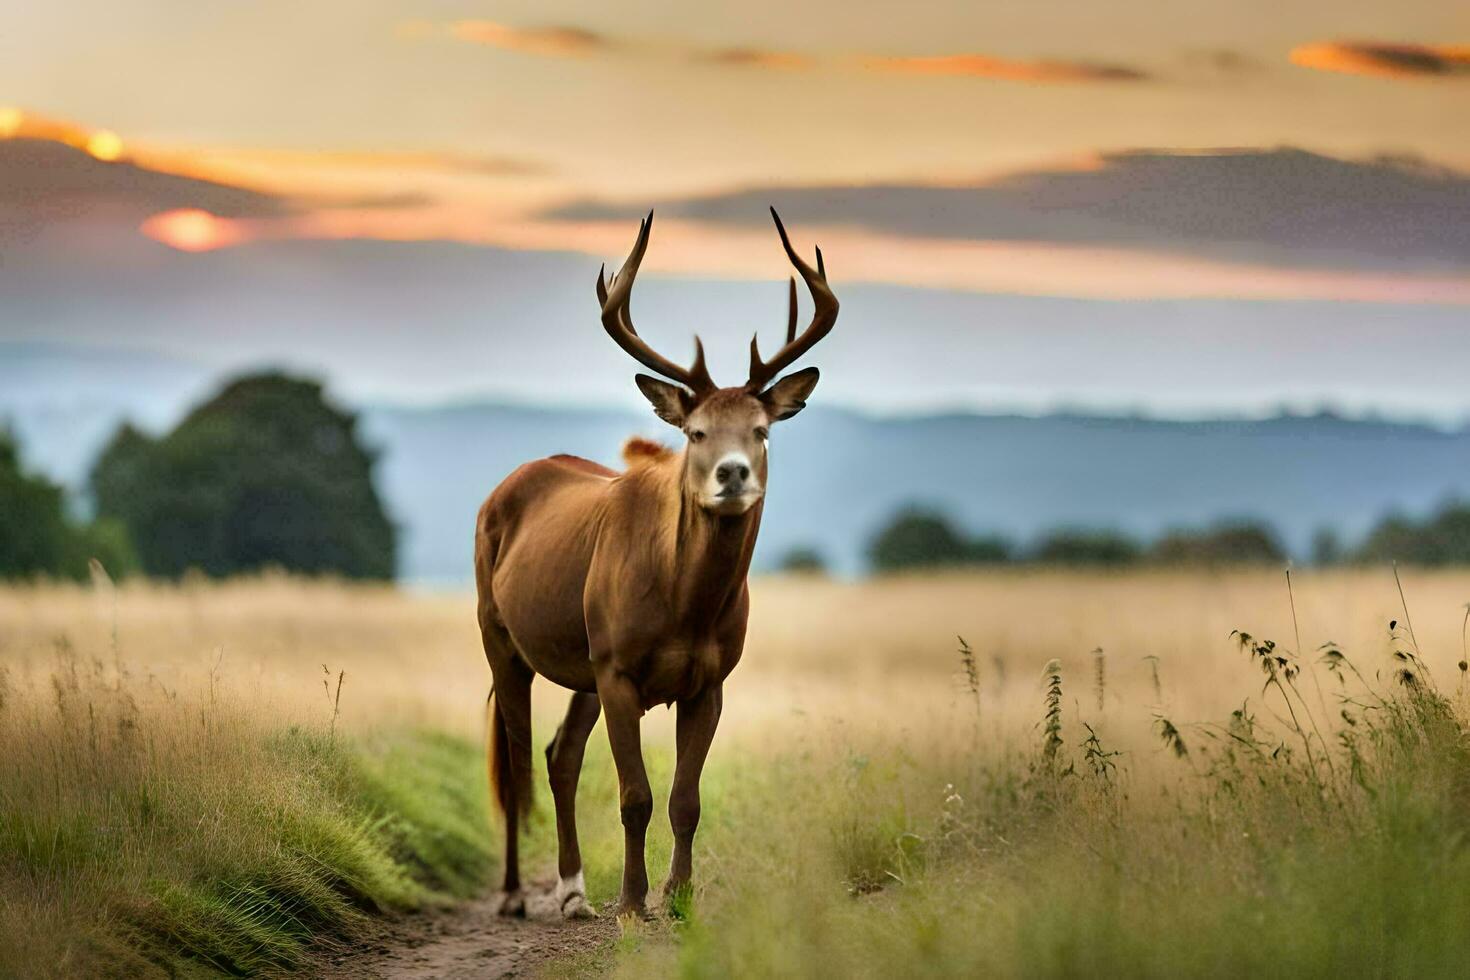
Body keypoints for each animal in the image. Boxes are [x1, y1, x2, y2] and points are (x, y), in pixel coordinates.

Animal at [470, 208, 840, 922]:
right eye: (696, 432)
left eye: (762, 430)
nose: (733, 474)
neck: (682, 605)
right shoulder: (617, 668)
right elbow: (635, 795)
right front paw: (632, 902)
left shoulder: (711, 679)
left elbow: (685, 799)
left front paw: (679, 894)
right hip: (500, 634)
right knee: (518, 756)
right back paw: (514, 894)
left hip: (581, 664)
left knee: (559, 754)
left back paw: (573, 892)